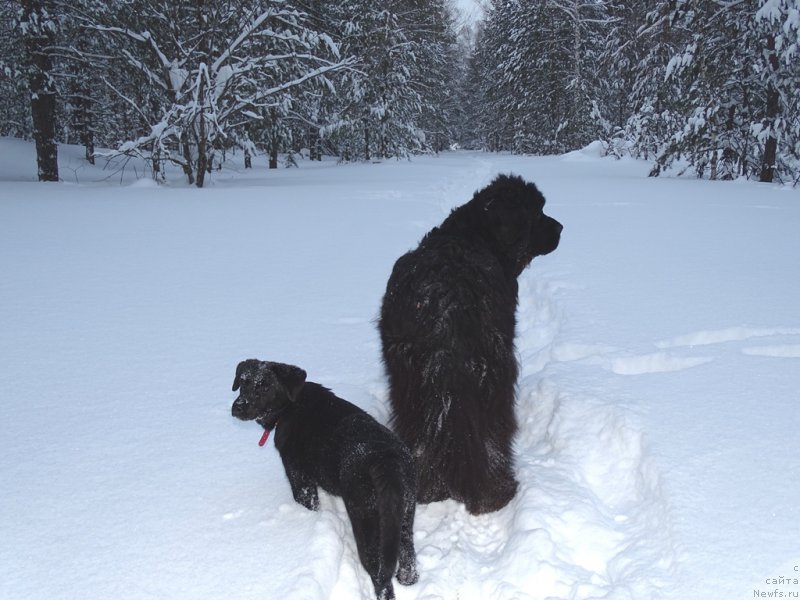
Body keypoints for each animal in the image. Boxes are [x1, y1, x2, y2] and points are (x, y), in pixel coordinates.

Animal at [380, 173, 564, 516]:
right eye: (537, 212)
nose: (560, 227)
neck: (475, 235)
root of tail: (443, 305)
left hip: (408, 379)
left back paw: (428, 489)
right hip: (492, 371)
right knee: (490, 435)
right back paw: (493, 492)